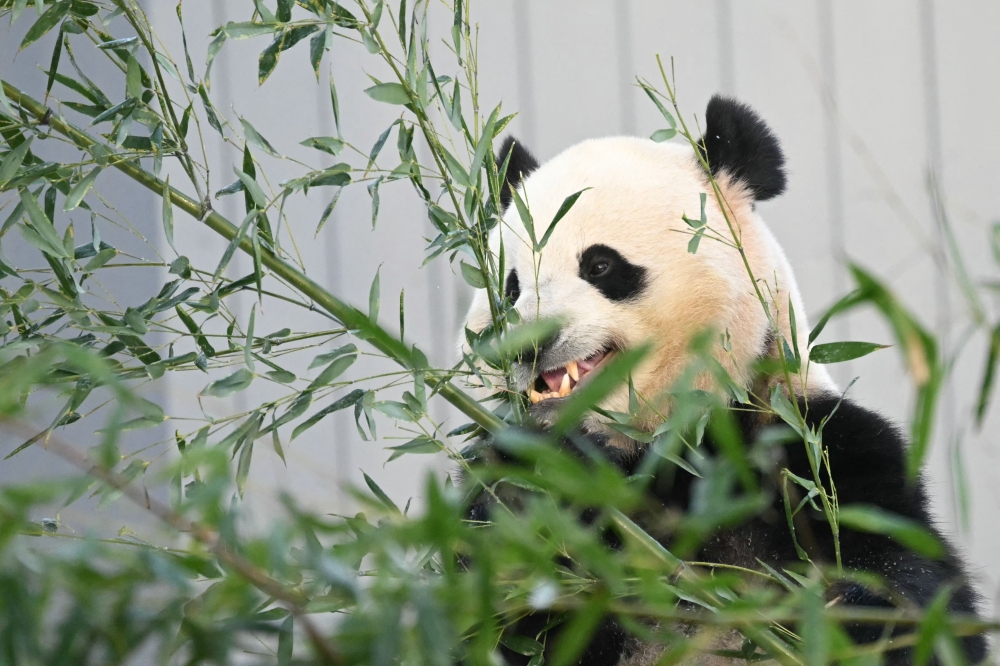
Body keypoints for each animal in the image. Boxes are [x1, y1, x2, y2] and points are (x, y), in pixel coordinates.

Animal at [458, 94, 988, 664]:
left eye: (599, 265)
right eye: (511, 287)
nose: (526, 344)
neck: (667, 442)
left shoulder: (816, 447)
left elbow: (916, 592)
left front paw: (847, 614)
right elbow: (517, 616)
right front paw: (526, 484)